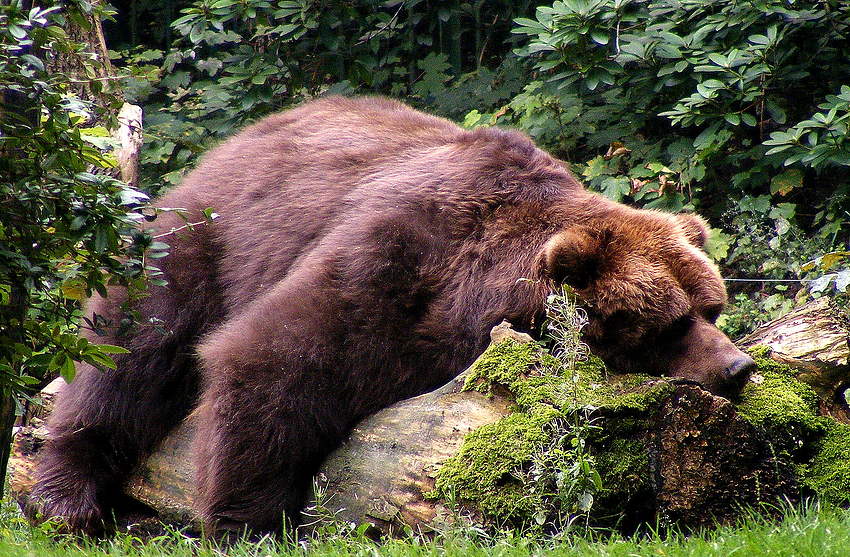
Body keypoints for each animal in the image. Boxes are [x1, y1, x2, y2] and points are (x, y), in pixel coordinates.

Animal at [29, 94, 752, 536]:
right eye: (668, 323)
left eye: (712, 306)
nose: (738, 367)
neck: (480, 289)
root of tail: (243, 137)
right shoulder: (398, 257)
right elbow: (277, 358)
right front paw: (248, 523)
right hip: (206, 239)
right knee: (134, 352)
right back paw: (66, 494)